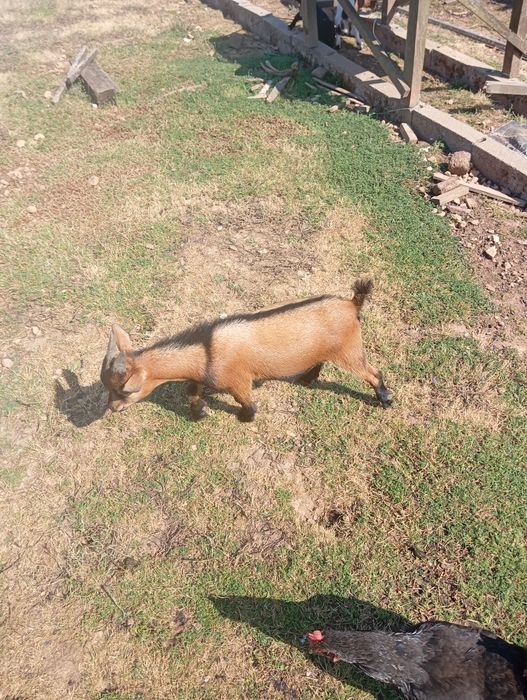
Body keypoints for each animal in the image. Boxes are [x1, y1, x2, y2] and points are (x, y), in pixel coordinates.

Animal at [100, 279, 392, 422]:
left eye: (126, 392)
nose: (113, 409)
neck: (206, 350)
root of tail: (352, 304)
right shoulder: (201, 376)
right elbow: (192, 391)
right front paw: (199, 413)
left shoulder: (237, 380)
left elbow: (247, 401)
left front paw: (245, 418)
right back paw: (307, 379)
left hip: (350, 350)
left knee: (373, 372)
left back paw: (385, 400)